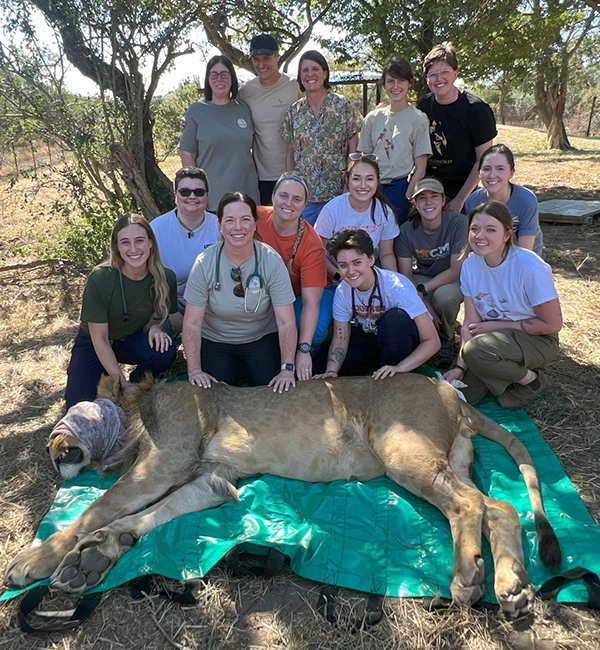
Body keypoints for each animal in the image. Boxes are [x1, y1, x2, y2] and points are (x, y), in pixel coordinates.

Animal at [5, 373, 560, 618]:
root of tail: (453, 393)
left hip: (403, 449)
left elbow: (97, 507)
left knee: (469, 505)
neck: (138, 412)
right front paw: (96, 557)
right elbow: (149, 516)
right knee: (500, 507)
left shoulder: (166, 460)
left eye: (72, 416)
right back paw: (512, 587)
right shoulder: (212, 478)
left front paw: (33, 561)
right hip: (450, 457)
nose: (52, 450)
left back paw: (468, 577)